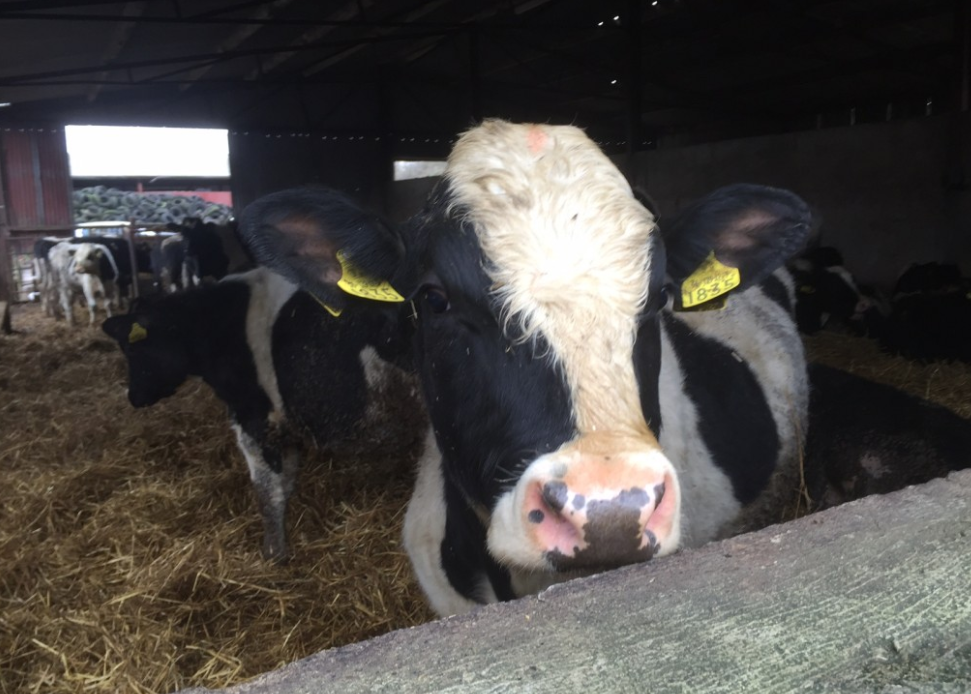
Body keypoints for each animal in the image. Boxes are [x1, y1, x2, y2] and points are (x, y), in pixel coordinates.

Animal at [102, 266, 418, 562]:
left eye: (132, 347)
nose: (134, 397)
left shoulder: (255, 419)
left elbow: (267, 491)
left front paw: (273, 555)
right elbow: (285, 482)